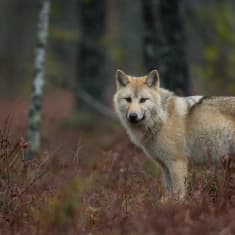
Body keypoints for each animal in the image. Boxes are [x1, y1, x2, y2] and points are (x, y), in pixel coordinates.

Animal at [112, 69, 235, 199]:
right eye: (128, 99)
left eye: (143, 100)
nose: (133, 116)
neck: (162, 119)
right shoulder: (165, 167)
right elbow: (169, 193)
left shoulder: (177, 163)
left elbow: (178, 194)